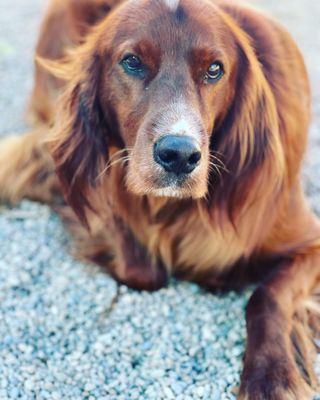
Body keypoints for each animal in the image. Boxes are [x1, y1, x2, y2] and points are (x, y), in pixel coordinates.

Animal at [0, 0, 320, 398]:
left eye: (214, 69)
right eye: (132, 62)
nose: (179, 155)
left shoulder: (309, 240)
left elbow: (268, 295)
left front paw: (272, 375)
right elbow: (142, 269)